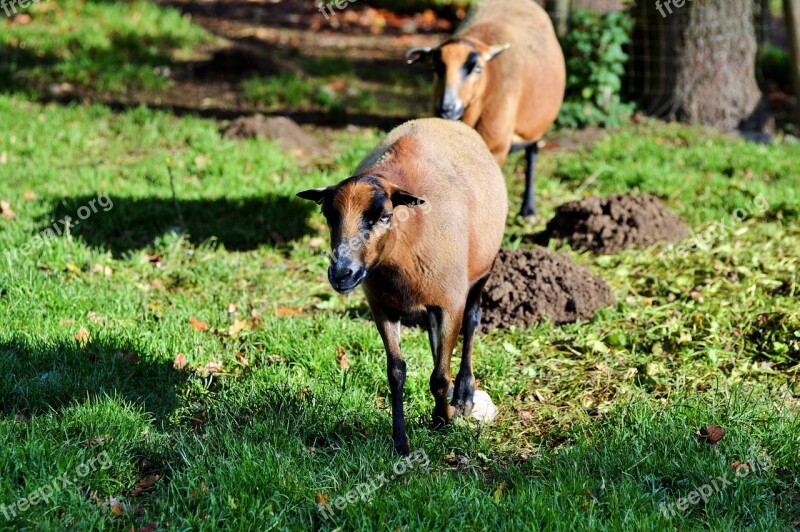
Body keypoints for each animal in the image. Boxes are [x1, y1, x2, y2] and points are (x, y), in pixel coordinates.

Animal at [296, 118, 510, 456]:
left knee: (472, 323)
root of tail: (445, 121)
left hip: (482, 270)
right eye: (329, 216)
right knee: (435, 335)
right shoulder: (382, 306)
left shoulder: (451, 301)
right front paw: (400, 441)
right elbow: (396, 371)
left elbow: (439, 376)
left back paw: (463, 392)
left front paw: (443, 419)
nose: (342, 273)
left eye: (384, 216)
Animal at [404, 0, 564, 218]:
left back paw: (528, 209)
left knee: (532, 152)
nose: (447, 107)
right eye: (435, 68)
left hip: (533, 126)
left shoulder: (496, 146)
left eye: (477, 68)